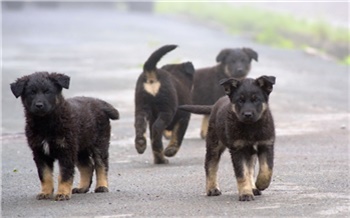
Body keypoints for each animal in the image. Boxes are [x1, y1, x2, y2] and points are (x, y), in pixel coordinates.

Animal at [10, 72, 119, 201]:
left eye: (48, 92)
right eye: (31, 93)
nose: (39, 105)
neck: (46, 123)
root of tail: (98, 102)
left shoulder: (66, 151)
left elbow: (64, 175)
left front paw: (62, 193)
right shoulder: (39, 153)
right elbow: (45, 175)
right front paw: (45, 192)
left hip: (99, 143)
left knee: (101, 165)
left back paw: (102, 186)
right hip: (80, 148)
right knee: (88, 166)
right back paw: (82, 188)